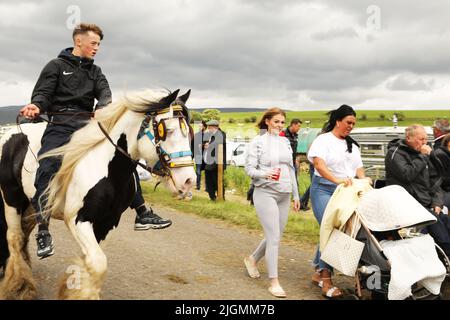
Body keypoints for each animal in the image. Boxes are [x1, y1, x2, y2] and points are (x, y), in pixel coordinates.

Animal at [0, 89, 197, 298]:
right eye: (167, 131)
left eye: (188, 132)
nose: (189, 181)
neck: (106, 167)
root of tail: (11, 134)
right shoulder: (78, 220)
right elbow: (98, 262)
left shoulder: (109, 222)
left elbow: (92, 263)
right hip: (11, 200)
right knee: (14, 238)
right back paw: (21, 285)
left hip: (29, 205)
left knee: (24, 233)